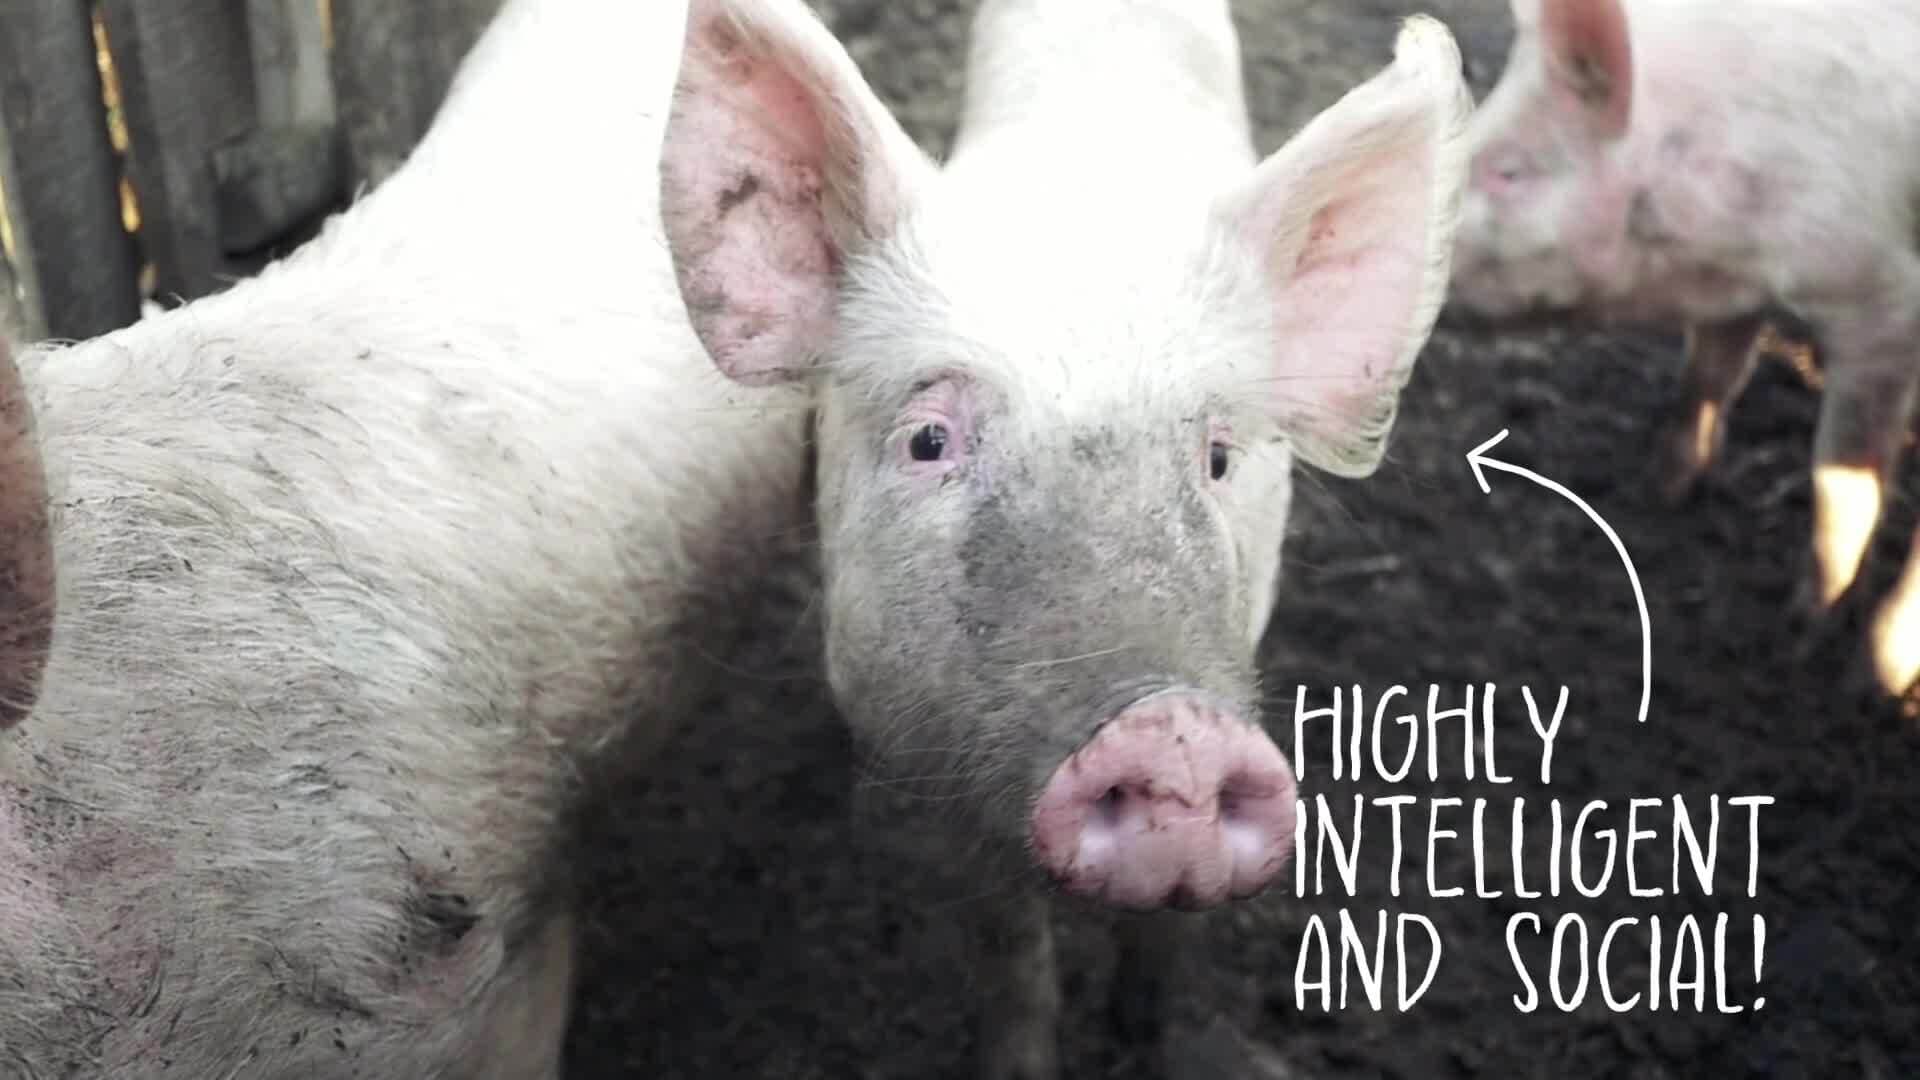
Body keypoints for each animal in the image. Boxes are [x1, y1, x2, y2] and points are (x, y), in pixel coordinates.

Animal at [1447, 0, 1920, 695]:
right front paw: (1662, 491)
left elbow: (1841, 480)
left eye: (1510, 170)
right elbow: (1708, 373)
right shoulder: (1738, 286)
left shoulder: (1881, 306)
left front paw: (1814, 647)